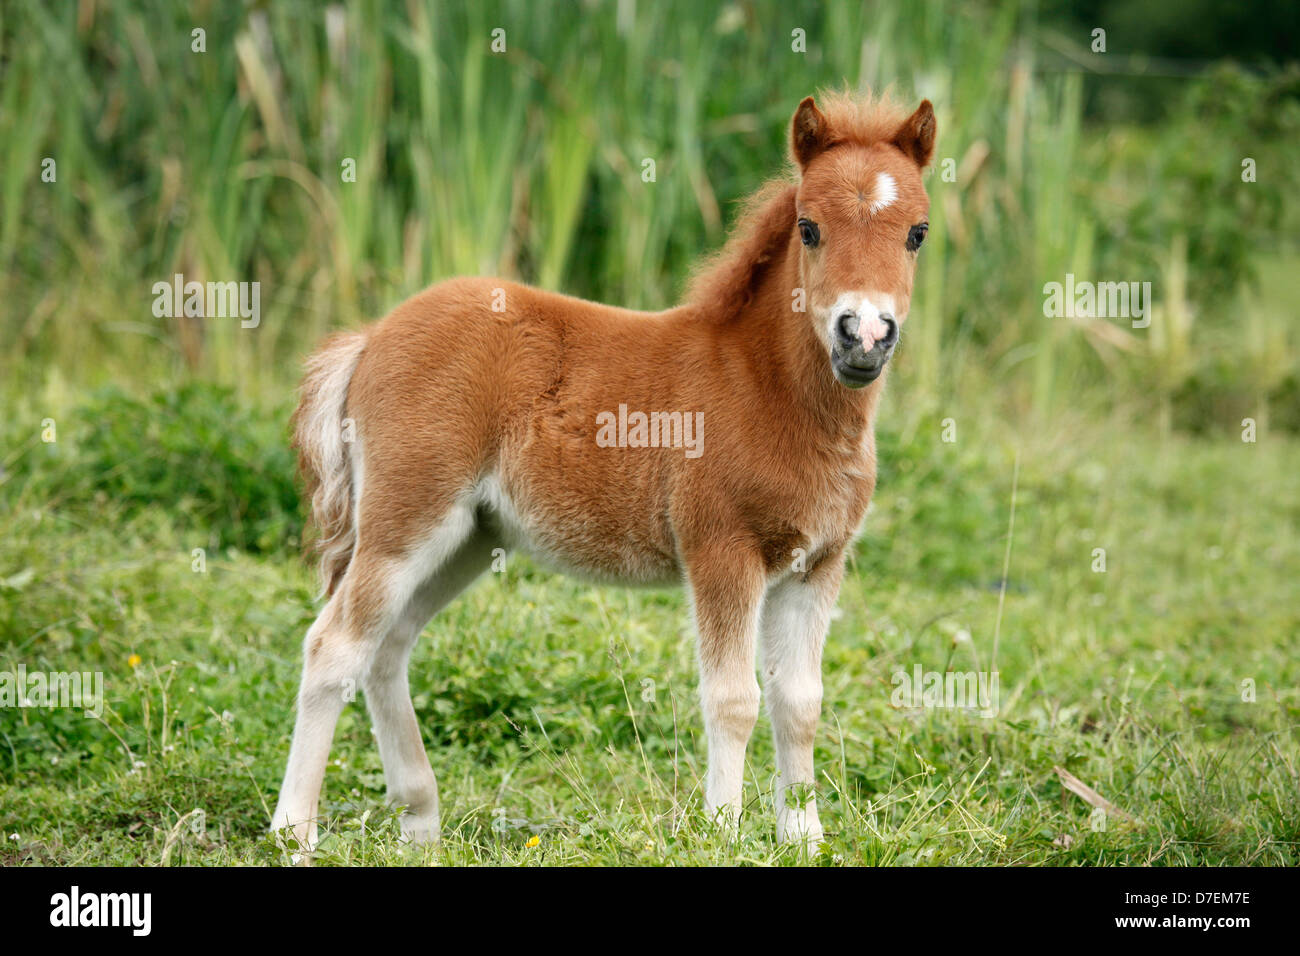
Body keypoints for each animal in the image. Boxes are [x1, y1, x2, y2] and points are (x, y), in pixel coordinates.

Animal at [271, 93, 935, 848]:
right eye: (810, 227)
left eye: (917, 233)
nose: (865, 337)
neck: (770, 391)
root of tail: (371, 337)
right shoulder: (722, 550)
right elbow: (733, 698)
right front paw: (721, 833)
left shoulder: (817, 564)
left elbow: (800, 702)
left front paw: (804, 838)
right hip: (406, 520)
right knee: (334, 646)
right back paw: (294, 833)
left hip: (467, 538)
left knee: (387, 648)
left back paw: (421, 823)